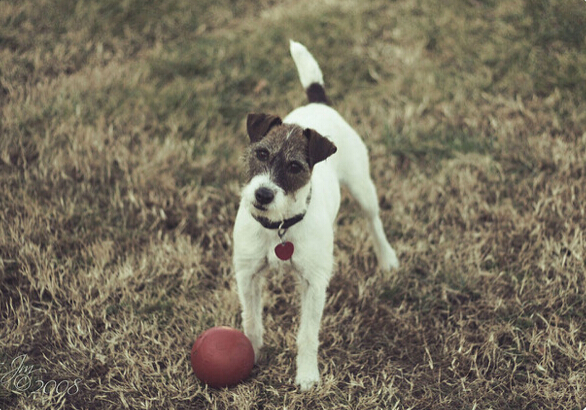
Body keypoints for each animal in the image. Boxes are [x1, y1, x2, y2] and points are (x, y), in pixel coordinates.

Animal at [233, 40, 399, 391]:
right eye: (261, 153)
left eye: (295, 166)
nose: (263, 195)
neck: (280, 227)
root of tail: (318, 103)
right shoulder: (247, 274)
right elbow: (251, 321)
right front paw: (250, 356)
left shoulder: (314, 282)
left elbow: (307, 335)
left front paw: (307, 375)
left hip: (362, 187)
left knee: (373, 220)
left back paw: (387, 258)